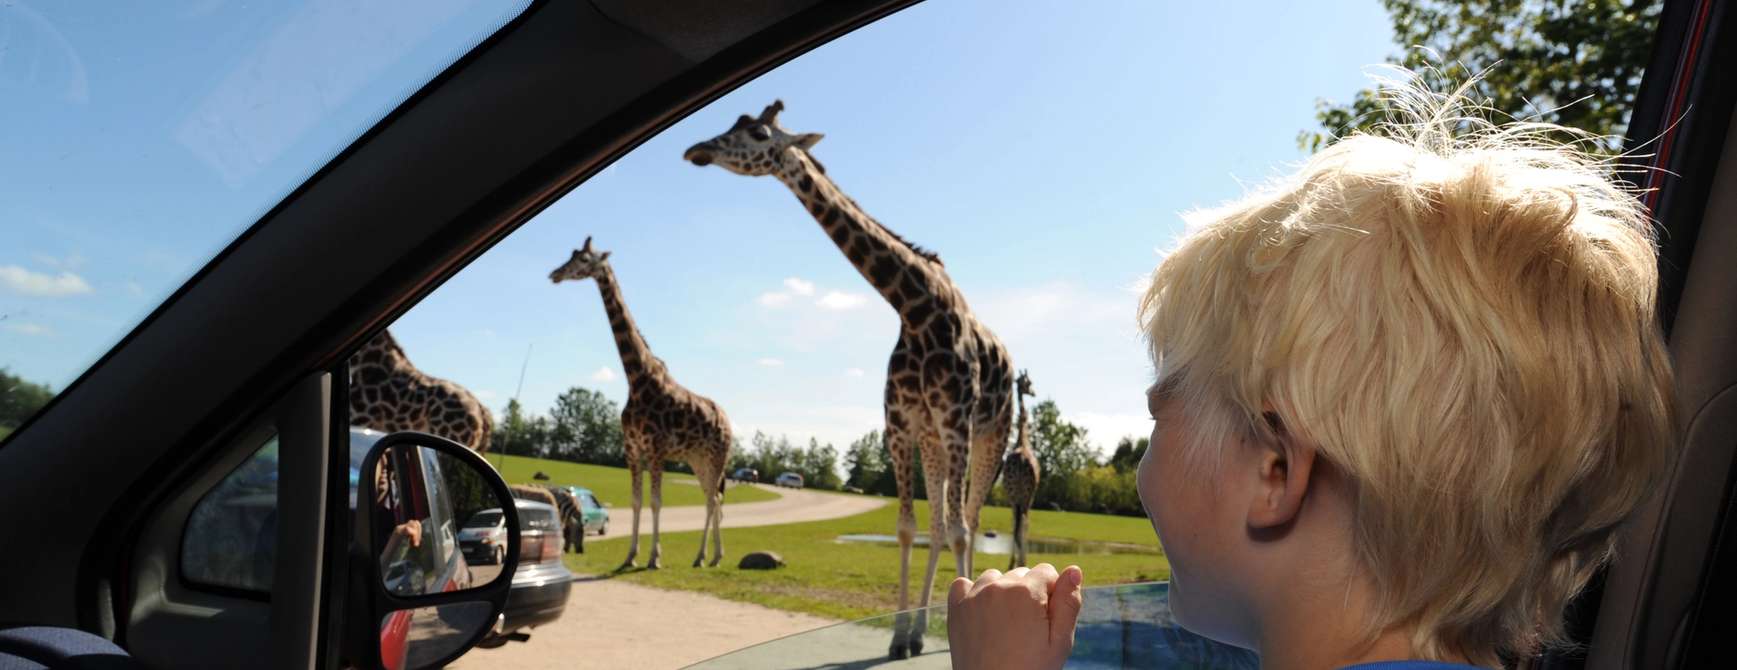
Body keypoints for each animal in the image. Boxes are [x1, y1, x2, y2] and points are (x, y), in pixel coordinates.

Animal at [545, 237, 729, 569]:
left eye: (584, 260)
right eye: (572, 255)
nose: (555, 274)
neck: (637, 378)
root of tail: (729, 423)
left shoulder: (655, 450)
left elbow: (656, 502)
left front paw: (654, 558)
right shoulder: (632, 450)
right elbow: (636, 502)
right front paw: (631, 556)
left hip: (717, 457)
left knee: (712, 500)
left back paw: (706, 557)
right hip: (697, 460)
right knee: (713, 499)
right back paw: (710, 557)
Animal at [684, 101, 1014, 656]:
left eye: (759, 133)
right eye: (732, 123)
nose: (696, 150)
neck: (914, 308)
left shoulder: (955, 423)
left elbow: (960, 530)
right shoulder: (901, 425)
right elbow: (906, 528)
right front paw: (901, 637)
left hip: (989, 436)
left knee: (969, 519)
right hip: (933, 442)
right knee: (940, 523)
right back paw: (922, 629)